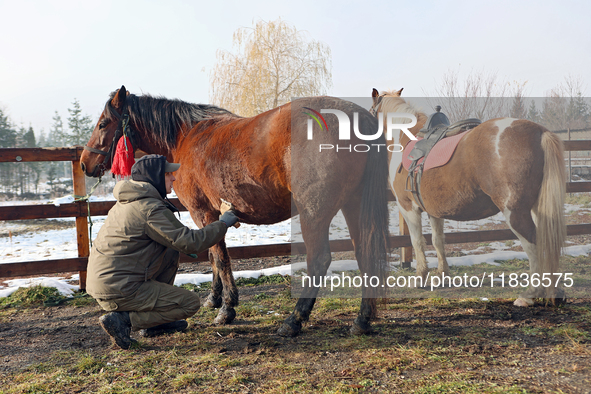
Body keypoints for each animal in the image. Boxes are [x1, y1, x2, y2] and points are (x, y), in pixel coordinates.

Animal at [81, 86, 390, 336]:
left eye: (103, 123)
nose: (85, 163)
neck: (185, 136)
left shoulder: (202, 211)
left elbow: (220, 257)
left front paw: (226, 309)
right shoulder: (211, 215)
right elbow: (212, 254)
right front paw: (214, 298)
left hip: (314, 212)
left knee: (319, 259)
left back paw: (294, 321)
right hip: (354, 204)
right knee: (364, 252)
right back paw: (362, 320)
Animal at [370, 89, 568, 308]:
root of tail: (539, 132)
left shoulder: (408, 208)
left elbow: (417, 241)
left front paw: (420, 278)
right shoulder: (434, 211)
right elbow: (438, 241)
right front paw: (443, 276)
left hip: (515, 213)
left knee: (533, 246)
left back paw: (530, 294)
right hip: (538, 209)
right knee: (548, 243)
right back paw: (555, 291)